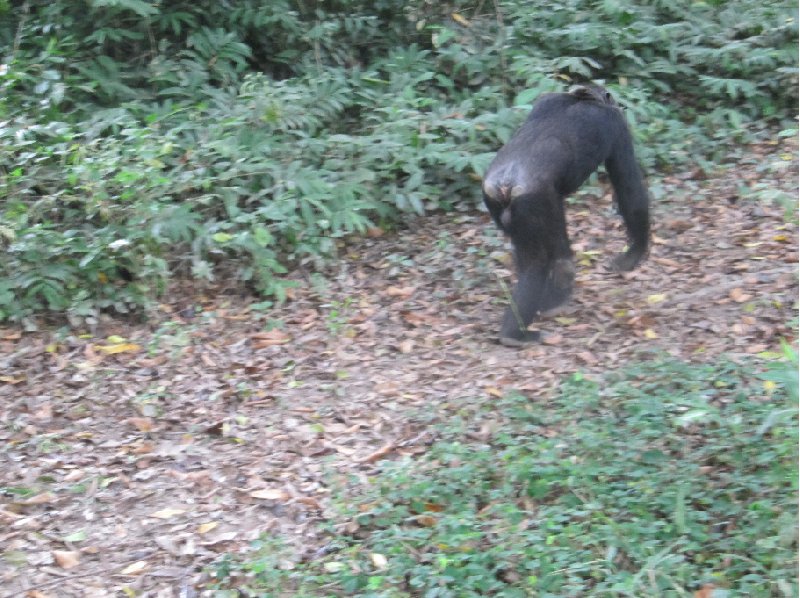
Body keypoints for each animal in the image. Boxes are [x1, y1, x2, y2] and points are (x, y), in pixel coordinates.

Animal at [482, 84, 648, 346]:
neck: (581, 98)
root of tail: (505, 184)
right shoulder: (617, 124)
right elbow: (628, 186)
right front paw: (634, 254)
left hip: (498, 204)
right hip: (533, 203)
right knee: (539, 264)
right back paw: (516, 333)